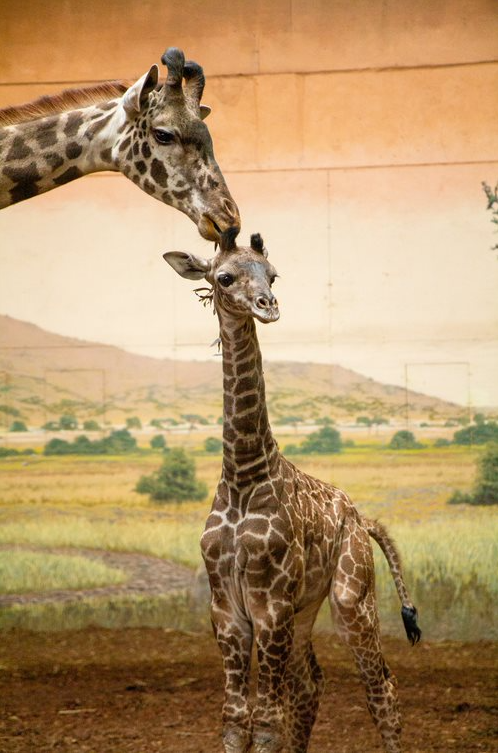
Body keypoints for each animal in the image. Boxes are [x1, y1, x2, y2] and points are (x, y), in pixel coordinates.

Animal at [163, 229, 421, 753]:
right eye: (224, 277)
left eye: (273, 273)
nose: (269, 305)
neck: (244, 476)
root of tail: (362, 518)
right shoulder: (228, 611)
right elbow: (234, 717)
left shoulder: (272, 605)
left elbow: (266, 719)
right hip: (306, 610)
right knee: (311, 684)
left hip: (350, 597)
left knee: (381, 685)